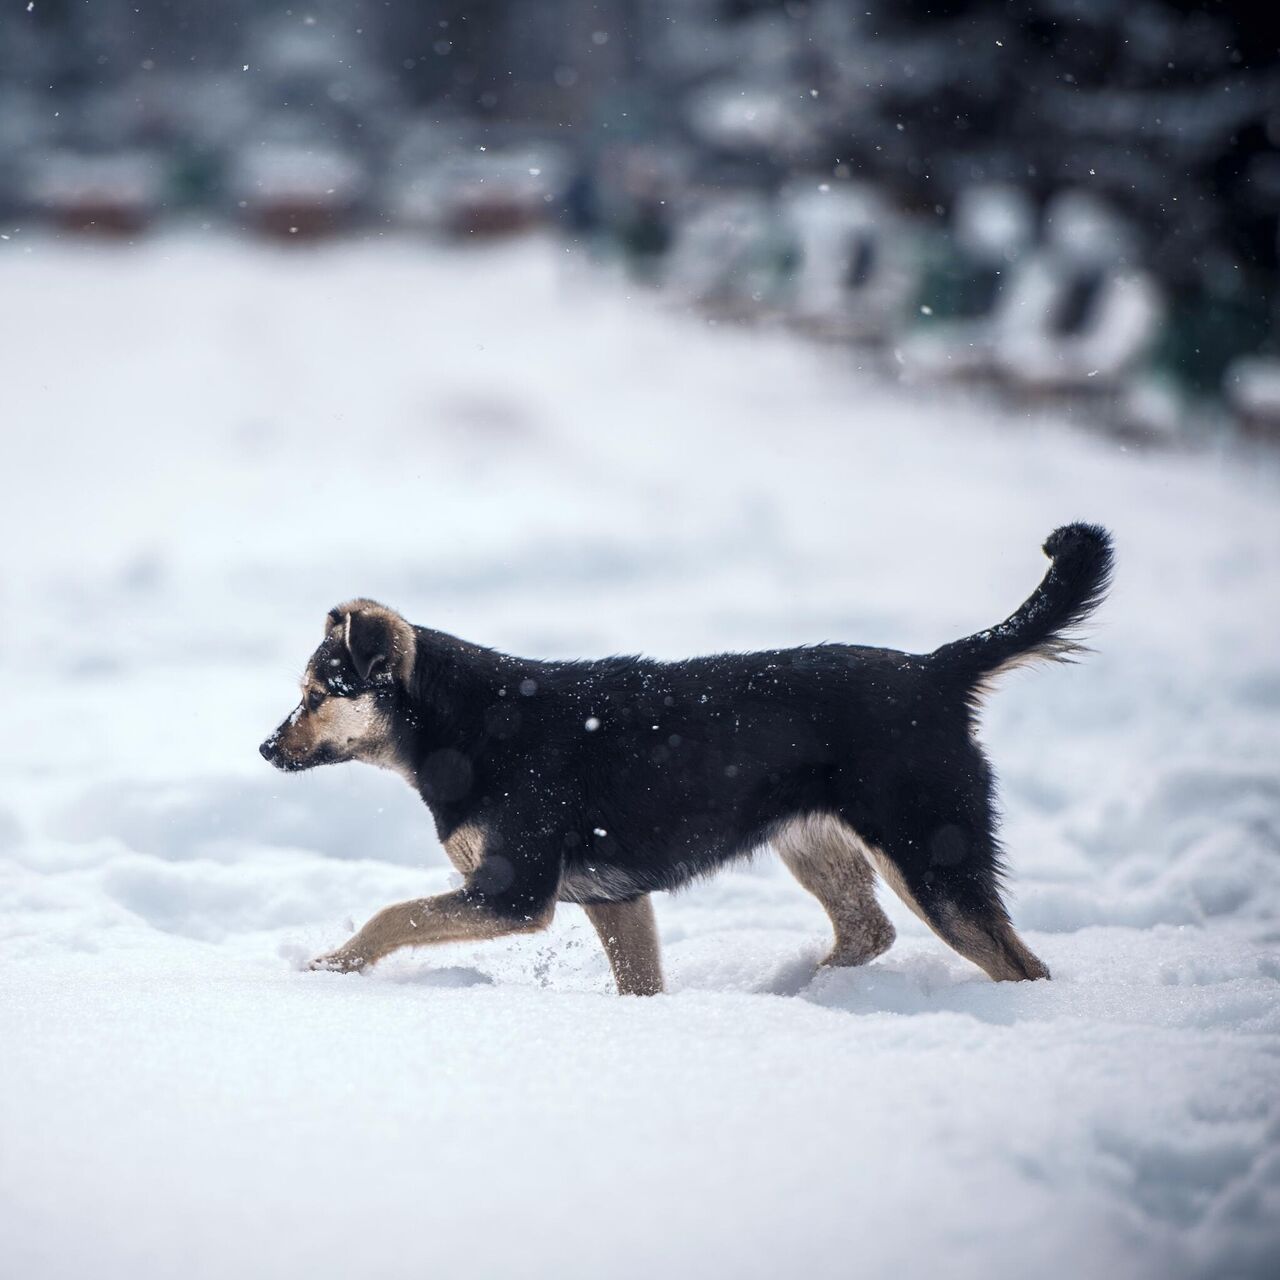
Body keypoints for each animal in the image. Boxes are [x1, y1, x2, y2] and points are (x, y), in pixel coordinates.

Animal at [257, 524, 1111, 993]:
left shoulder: (514, 893)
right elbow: (640, 984)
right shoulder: (615, 899)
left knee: (1017, 965)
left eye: (315, 694)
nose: (265, 747)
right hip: (816, 844)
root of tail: (936, 671)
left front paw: (326, 969)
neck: (461, 724)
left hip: (930, 854)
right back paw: (799, 992)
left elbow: (390, 915)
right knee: (868, 932)